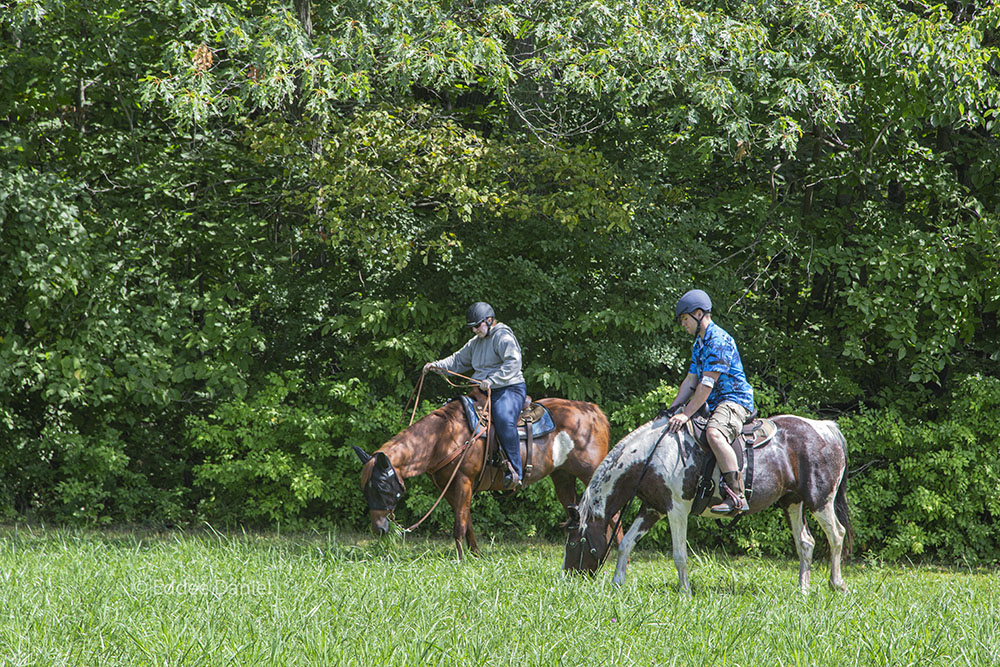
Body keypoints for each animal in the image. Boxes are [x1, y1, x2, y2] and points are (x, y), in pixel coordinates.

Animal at [356, 392, 612, 560]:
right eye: (365, 489)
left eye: (381, 486)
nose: (379, 529)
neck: (443, 436)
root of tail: (594, 411)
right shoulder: (450, 488)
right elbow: (467, 520)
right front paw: (475, 554)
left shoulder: (463, 481)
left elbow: (459, 524)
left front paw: (460, 559)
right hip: (563, 477)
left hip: (593, 474)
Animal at [564, 412, 852, 596]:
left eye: (574, 543)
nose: (569, 577)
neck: (651, 457)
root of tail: (827, 429)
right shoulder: (653, 509)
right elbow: (626, 543)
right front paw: (617, 583)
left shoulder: (676, 510)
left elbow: (679, 555)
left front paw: (685, 592)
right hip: (793, 502)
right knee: (806, 543)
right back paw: (802, 590)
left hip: (820, 501)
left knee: (837, 535)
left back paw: (836, 584)